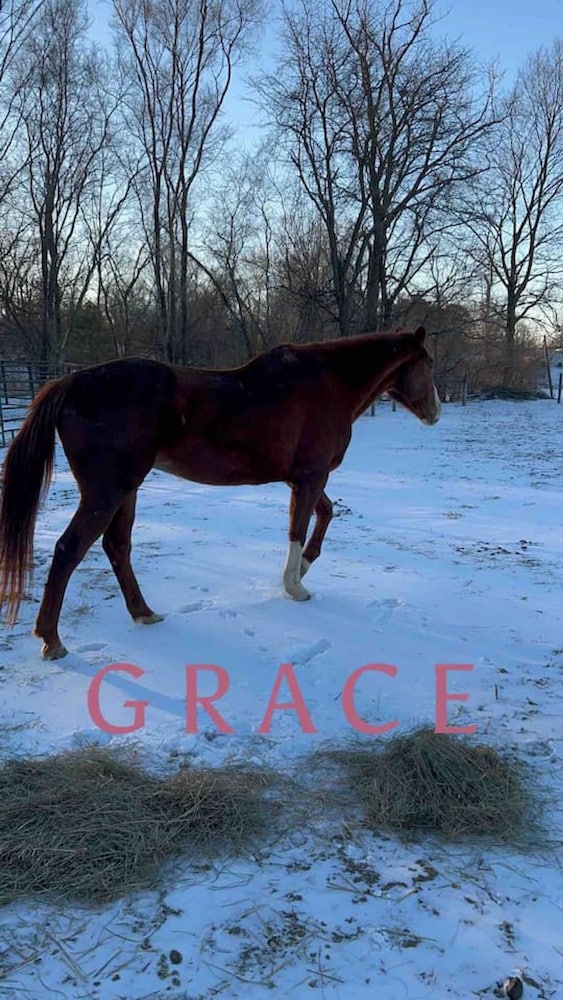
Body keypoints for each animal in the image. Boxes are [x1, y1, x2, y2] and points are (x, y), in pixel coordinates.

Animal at [0, 325, 441, 660]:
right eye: (428, 363)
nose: (435, 412)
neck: (330, 383)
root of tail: (70, 381)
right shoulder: (311, 476)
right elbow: (300, 528)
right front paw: (295, 586)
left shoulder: (300, 479)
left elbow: (324, 514)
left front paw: (303, 567)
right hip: (107, 491)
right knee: (69, 550)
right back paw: (52, 641)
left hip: (125, 490)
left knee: (116, 547)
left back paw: (144, 614)